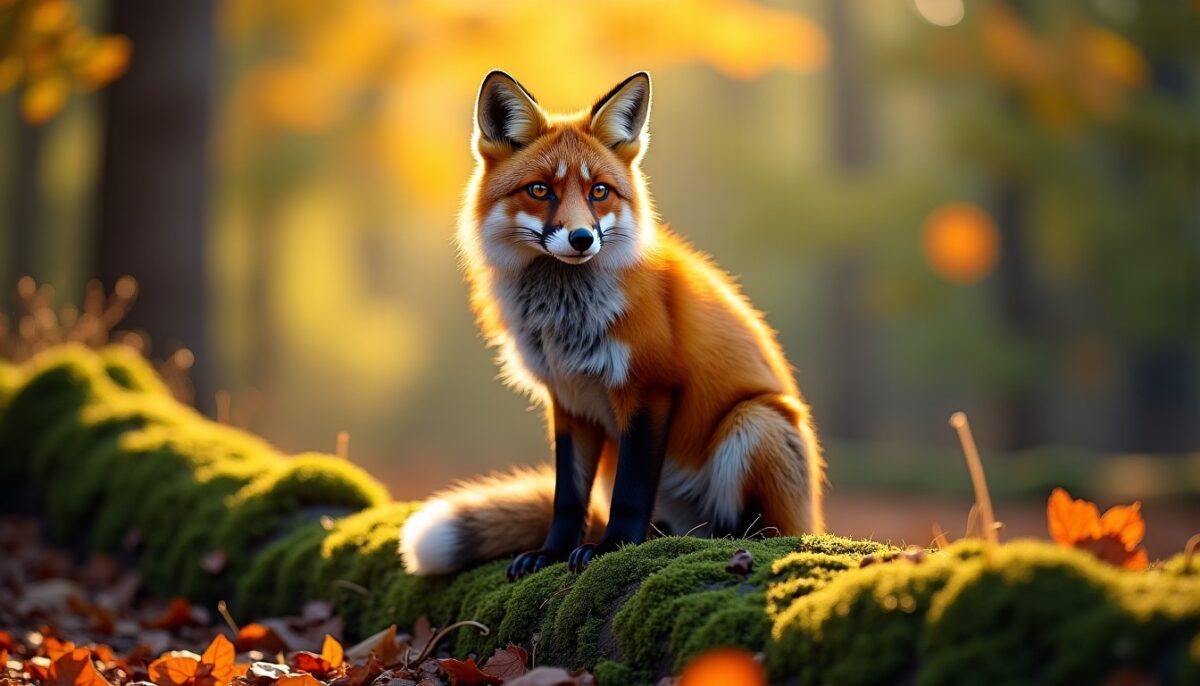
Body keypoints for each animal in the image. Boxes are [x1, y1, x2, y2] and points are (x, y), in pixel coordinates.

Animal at [400, 70, 825, 580]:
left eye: (599, 191)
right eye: (540, 190)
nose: (582, 238)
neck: (563, 318)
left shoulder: (649, 387)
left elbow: (630, 493)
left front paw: (614, 547)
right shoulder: (568, 399)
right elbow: (567, 498)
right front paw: (552, 553)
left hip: (756, 421)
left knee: (764, 531)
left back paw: (728, 540)